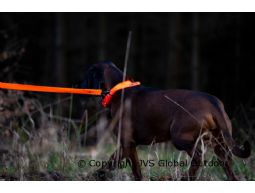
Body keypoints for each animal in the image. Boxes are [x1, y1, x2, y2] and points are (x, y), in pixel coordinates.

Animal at [83, 61, 251, 180]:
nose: (78, 85)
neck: (118, 89)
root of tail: (213, 102)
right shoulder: (130, 145)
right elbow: (127, 167)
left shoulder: (126, 143)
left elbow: (121, 165)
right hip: (220, 143)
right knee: (226, 163)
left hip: (180, 137)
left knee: (198, 157)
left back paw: (185, 178)